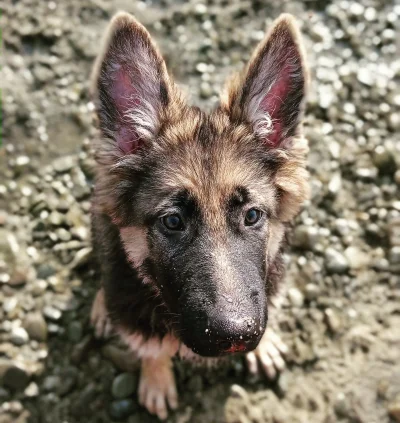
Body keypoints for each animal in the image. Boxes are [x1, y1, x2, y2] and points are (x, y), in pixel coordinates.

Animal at [90, 11, 310, 422]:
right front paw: (156, 378)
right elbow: (151, 347)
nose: (236, 339)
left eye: (252, 215)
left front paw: (265, 343)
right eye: (172, 221)